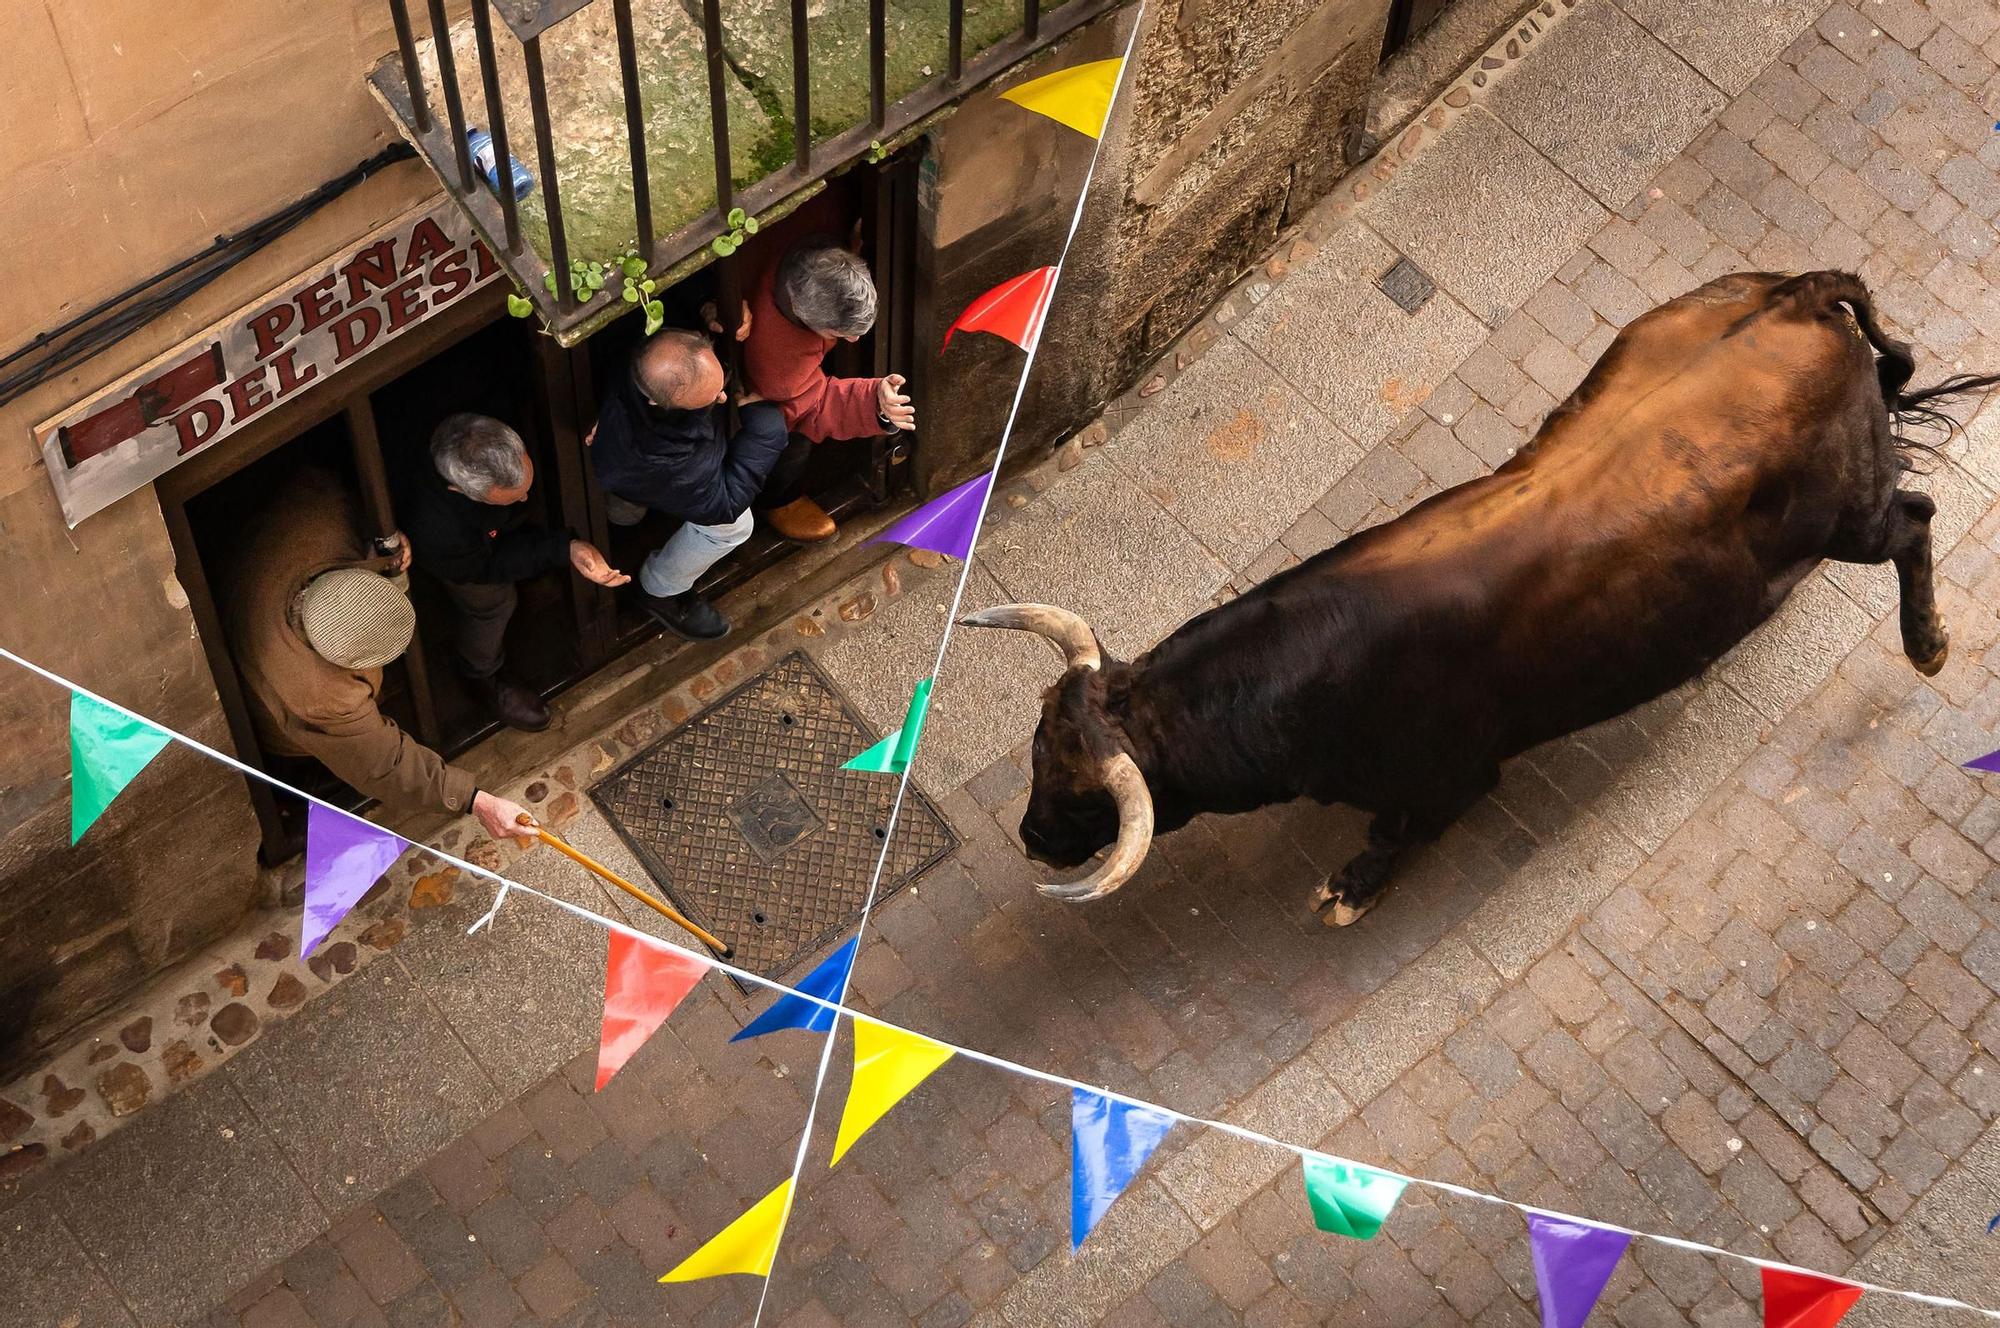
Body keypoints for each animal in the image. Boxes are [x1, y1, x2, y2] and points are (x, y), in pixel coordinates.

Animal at [960, 272, 1992, 924]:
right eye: (1037, 748)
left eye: (1085, 798)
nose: (1032, 837)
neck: (1296, 676)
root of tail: (1796, 292)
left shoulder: (1447, 782)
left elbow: (1396, 836)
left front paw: (1349, 891)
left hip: (1846, 520)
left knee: (1915, 521)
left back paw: (1928, 642)